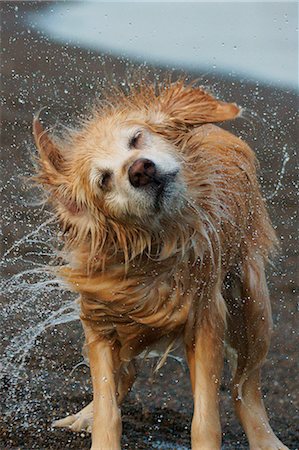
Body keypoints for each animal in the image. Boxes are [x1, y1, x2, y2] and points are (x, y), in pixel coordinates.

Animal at [32, 81, 288, 450]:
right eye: (103, 180)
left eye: (136, 138)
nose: (139, 170)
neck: (159, 244)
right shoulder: (100, 317)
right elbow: (107, 406)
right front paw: (98, 427)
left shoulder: (206, 317)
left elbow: (206, 419)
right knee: (126, 373)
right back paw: (84, 414)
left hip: (253, 307)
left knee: (245, 387)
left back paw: (266, 440)